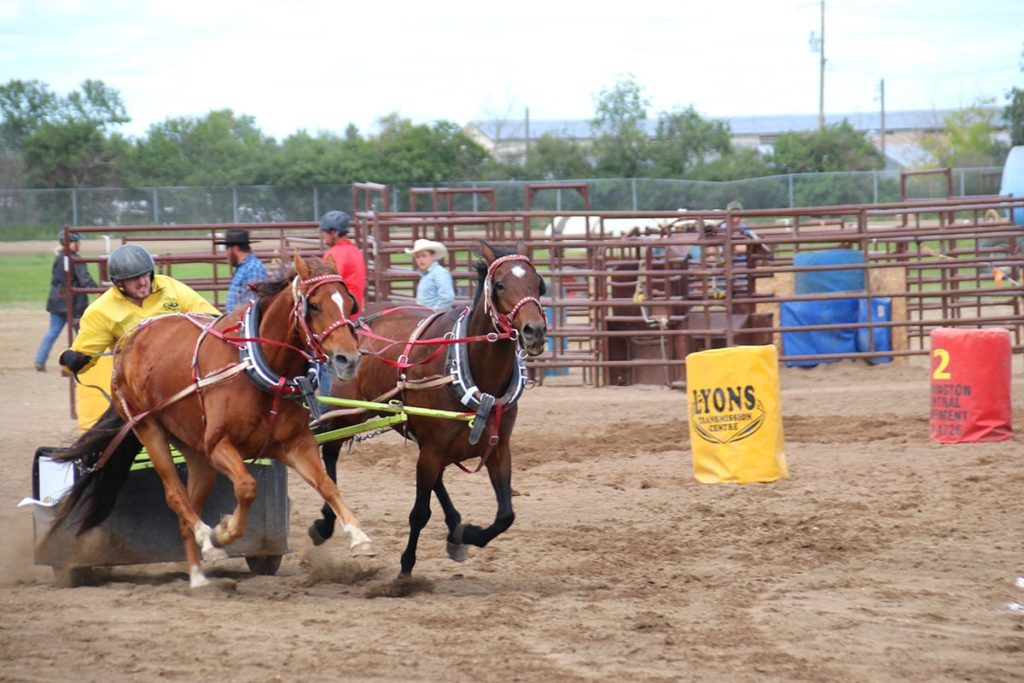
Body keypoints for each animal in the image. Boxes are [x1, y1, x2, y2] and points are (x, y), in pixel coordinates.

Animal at [49, 254, 376, 588]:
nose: (348, 359)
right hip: (150, 430)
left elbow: (327, 485)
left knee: (186, 511)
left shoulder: (295, 445)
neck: (255, 365)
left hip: (197, 454)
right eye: (314, 305)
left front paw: (359, 537)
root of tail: (129, 343)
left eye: (350, 303)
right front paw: (222, 532)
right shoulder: (220, 446)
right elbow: (247, 487)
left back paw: (197, 577)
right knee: (175, 497)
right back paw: (206, 541)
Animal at [311, 240, 548, 578]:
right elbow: (419, 513)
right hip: (350, 412)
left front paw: (467, 533)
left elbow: (505, 515)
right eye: (501, 284)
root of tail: (353, 319)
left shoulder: (498, 449)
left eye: (537, 283)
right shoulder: (432, 451)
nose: (534, 331)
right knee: (329, 450)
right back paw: (325, 523)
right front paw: (406, 568)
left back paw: (455, 528)